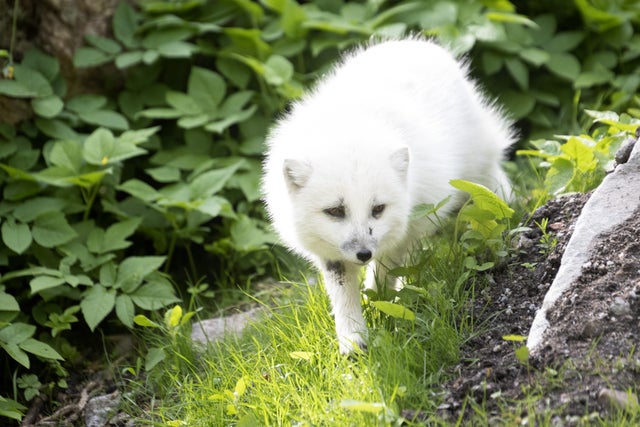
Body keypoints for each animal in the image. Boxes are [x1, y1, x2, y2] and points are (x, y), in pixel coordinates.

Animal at [260, 39, 516, 354]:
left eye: (378, 208)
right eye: (335, 211)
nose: (363, 254)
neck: (349, 126)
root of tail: (416, 42)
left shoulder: (405, 229)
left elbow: (384, 273)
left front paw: (378, 302)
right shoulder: (331, 255)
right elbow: (344, 295)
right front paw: (353, 340)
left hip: (475, 167)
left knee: (492, 178)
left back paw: (511, 205)